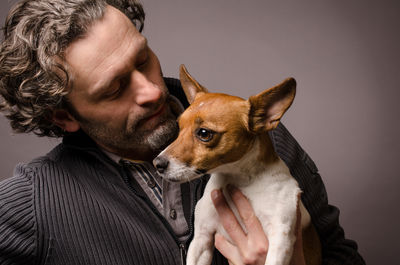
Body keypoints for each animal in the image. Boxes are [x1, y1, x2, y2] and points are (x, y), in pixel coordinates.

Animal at [153, 64, 322, 264]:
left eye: (204, 133)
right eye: (178, 128)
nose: (157, 163)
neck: (239, 180)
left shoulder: (281, 238)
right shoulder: (201, 239)